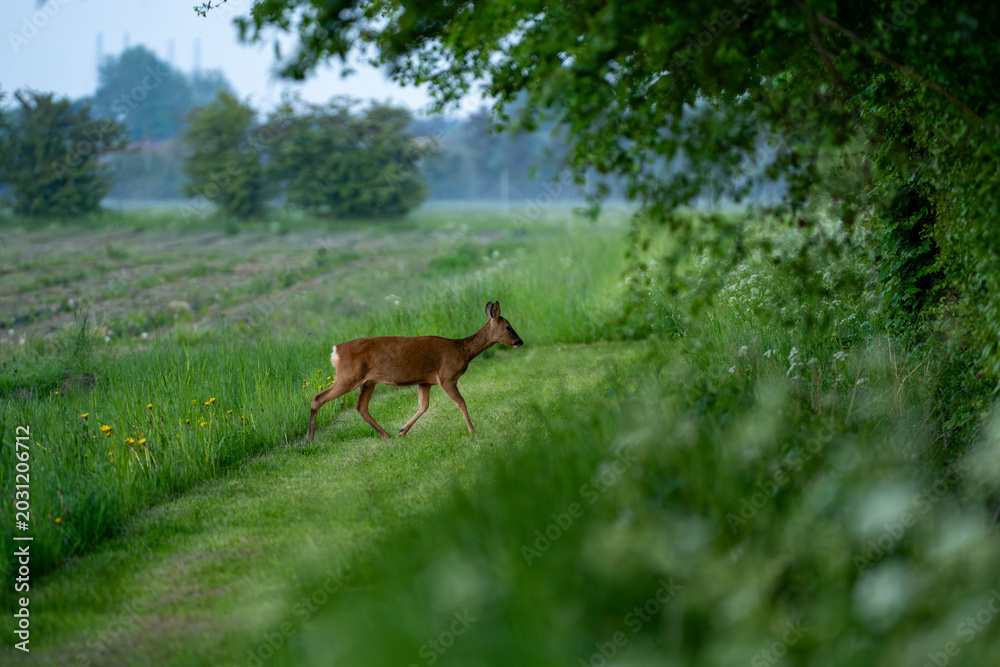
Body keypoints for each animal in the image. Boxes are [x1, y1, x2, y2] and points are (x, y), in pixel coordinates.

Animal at [306, 301, 523, 442]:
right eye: (508, 327)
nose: (520, 341)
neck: (462, 350)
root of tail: (336, 351)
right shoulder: (446, 376)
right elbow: (461, 402)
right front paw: (472, 431)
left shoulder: (424, 381)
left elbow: (424, 405)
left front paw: (402, 430)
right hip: (349, 377)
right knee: (318, 397)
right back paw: (309, 439)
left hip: (367, 381)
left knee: (361, 407)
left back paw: (387, 436)